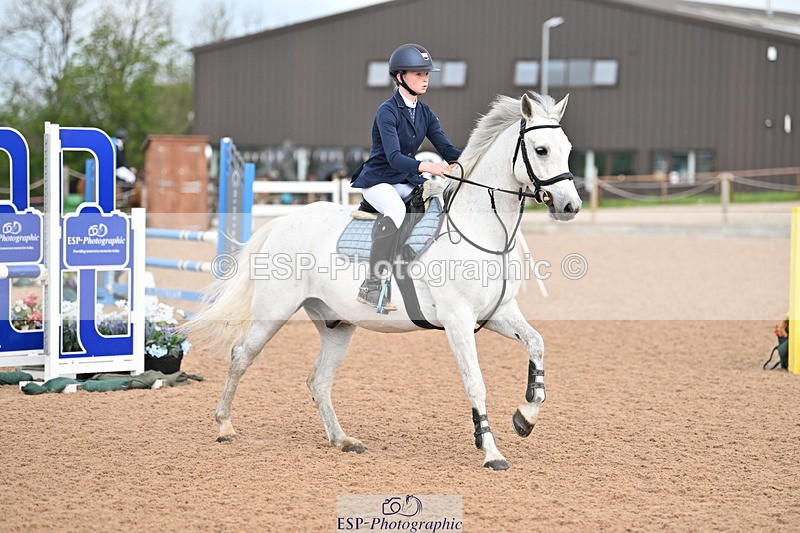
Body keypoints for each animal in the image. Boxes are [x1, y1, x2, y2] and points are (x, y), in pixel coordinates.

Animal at [189, 92, 581, 470]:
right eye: (541, 149)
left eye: (567, 149)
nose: (570, 207)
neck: (480, 229)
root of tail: (284, 221)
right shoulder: (458, 319)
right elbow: (476, 383)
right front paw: (491, 452)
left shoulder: (498, 312)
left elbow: (536, 343)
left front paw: (526, 417)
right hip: (273, 312)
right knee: (241, 356)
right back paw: (224, 425)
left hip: (336, 324)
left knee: (318, 380)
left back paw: (342, 439)